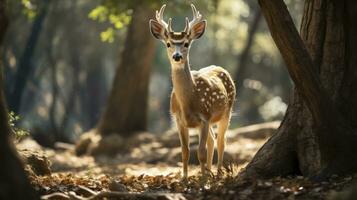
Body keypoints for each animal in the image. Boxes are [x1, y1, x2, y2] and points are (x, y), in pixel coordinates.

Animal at [149, 3, 235, 178]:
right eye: (168, 43)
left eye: (186, 44)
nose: (177, 56)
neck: (188, 102)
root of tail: (221, 68)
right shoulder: (178, 120)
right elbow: (185, 151)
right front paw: (186, 178)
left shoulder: (205, 117)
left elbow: (200, 152)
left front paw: (202, 180)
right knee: (212, 140)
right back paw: (209, 171)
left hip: (227, 111)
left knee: (221, 141)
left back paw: (217, 173)